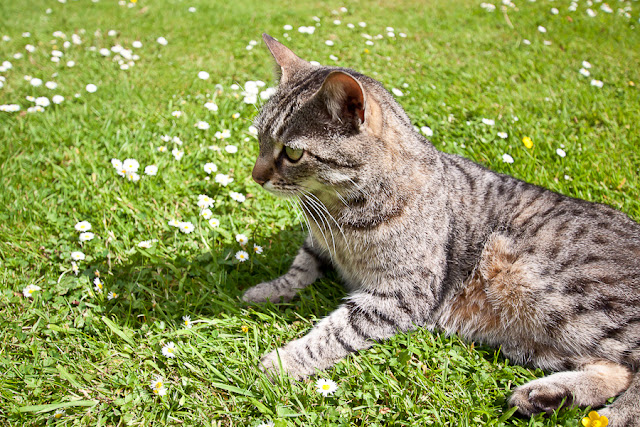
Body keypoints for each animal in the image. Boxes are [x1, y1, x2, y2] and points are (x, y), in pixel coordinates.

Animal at [244, 34, 640, 427]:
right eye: (259, 138)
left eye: (292, 153)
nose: (256, 176)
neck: (337, 210)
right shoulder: (318, 244)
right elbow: (300, 268)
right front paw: (265, 290)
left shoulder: (403, 293)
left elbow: (337, 330)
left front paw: (284, 361)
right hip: (542, 337)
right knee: (616, 369)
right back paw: (546, 396)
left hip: (555, 294)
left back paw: (615, 415)